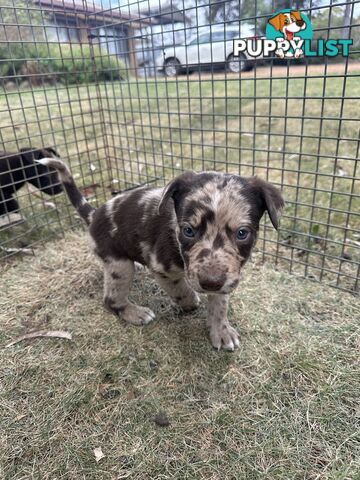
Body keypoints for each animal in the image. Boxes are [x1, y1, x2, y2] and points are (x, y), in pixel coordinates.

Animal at [38, 157, 282, 348]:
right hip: (119, 265)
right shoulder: (162, 268)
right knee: (111, 300)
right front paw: (191, 302)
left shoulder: (226, 274)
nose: (210, 283)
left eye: (242, 233)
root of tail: (94, 213)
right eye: (188, 231)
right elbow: (183, 291)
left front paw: (221, 331)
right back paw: (134, 312)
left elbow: (220, 304)